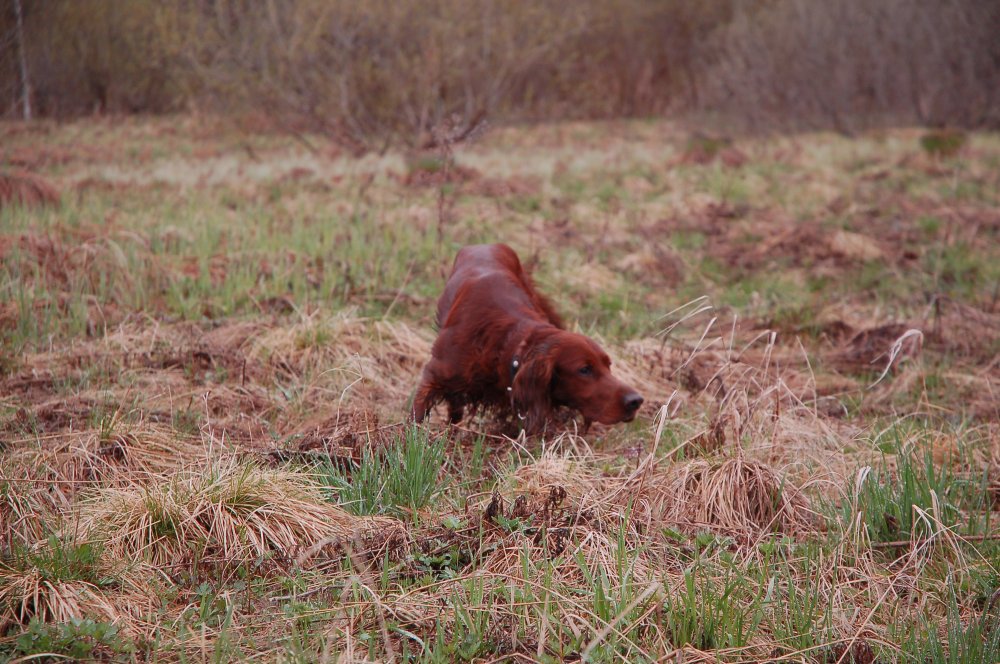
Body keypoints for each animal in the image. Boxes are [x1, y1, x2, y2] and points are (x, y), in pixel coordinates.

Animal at [412, 243, 640, 430]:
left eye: (608, 365)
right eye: (584, 369)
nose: (636, 401)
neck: (502, 344)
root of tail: (483, 244)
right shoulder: (434, 374)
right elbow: (418, 413)